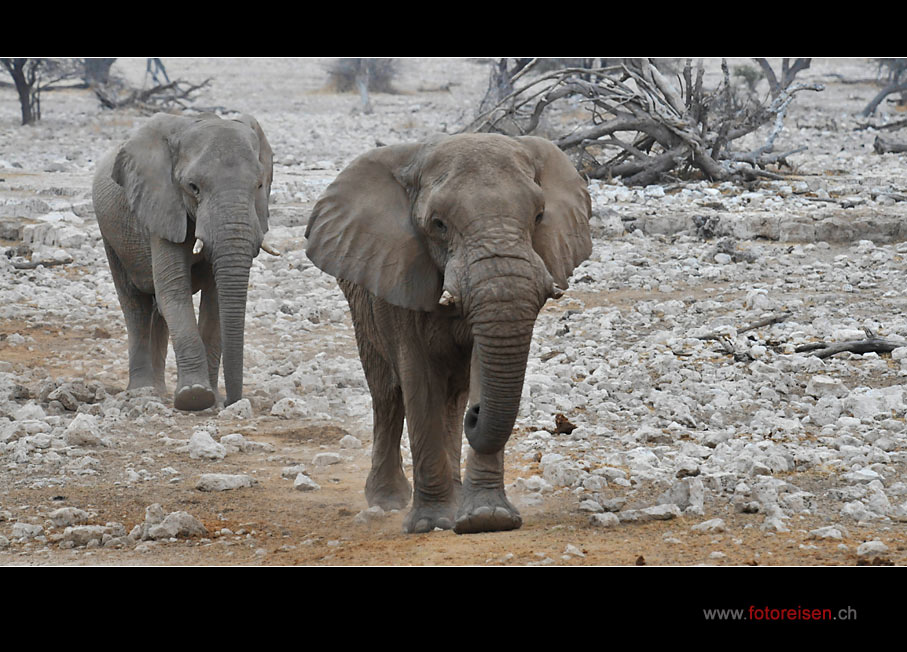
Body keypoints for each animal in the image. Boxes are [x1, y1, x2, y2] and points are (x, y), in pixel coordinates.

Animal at [92, 110, 278, 410]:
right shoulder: (162, 206)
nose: (232, 402)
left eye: (259, 185)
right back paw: (142, 392)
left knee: (156, 311)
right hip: (111, 234)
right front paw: (194, 397)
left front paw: (211, 400)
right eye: (193, 188)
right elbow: (174, 290)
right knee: (136, 305)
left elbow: (214, 302)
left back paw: (158, 391)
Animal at [302, 134, 592, 536]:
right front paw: (430, 523)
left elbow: (478, 368)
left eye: (538, 217)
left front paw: (488, 519)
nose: (477, 414)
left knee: (451, 399)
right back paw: (387, 501)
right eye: (438, 224)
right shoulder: (401, 272)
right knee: (388, 394)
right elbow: (420, 383)